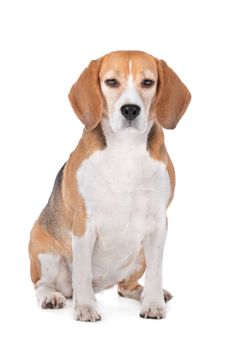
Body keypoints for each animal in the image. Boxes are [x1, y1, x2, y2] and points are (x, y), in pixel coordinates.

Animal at [28, 50, 190, 322]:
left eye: (148, 82)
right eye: (111, 82)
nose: (130, 110)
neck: (126, 149)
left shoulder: (159, 223)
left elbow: (156, 272)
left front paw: (153, 303)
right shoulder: (84, 224)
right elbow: (82, 272)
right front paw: (85, 307)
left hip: (140, 256)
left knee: (125, 287)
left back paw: (148, 294)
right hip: (45, 254)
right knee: (43, 284)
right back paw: (53, 297)